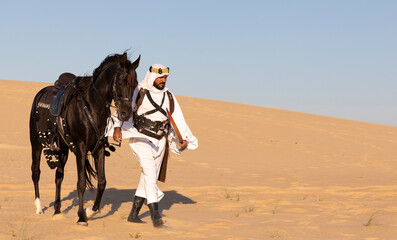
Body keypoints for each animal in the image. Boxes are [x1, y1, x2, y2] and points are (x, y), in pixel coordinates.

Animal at [28, 52, 139, 225]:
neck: (92, 107)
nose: (126, 114)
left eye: (135, 84)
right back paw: (39, 208)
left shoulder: (99, 148)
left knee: (58, 176)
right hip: (36, 143)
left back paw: (57, 211)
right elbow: (81, 183)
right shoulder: (80, 147)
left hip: (63, 149)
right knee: (36, 172)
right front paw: (81, 216)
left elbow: (102, 182)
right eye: (121, 81)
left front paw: (89, 212)